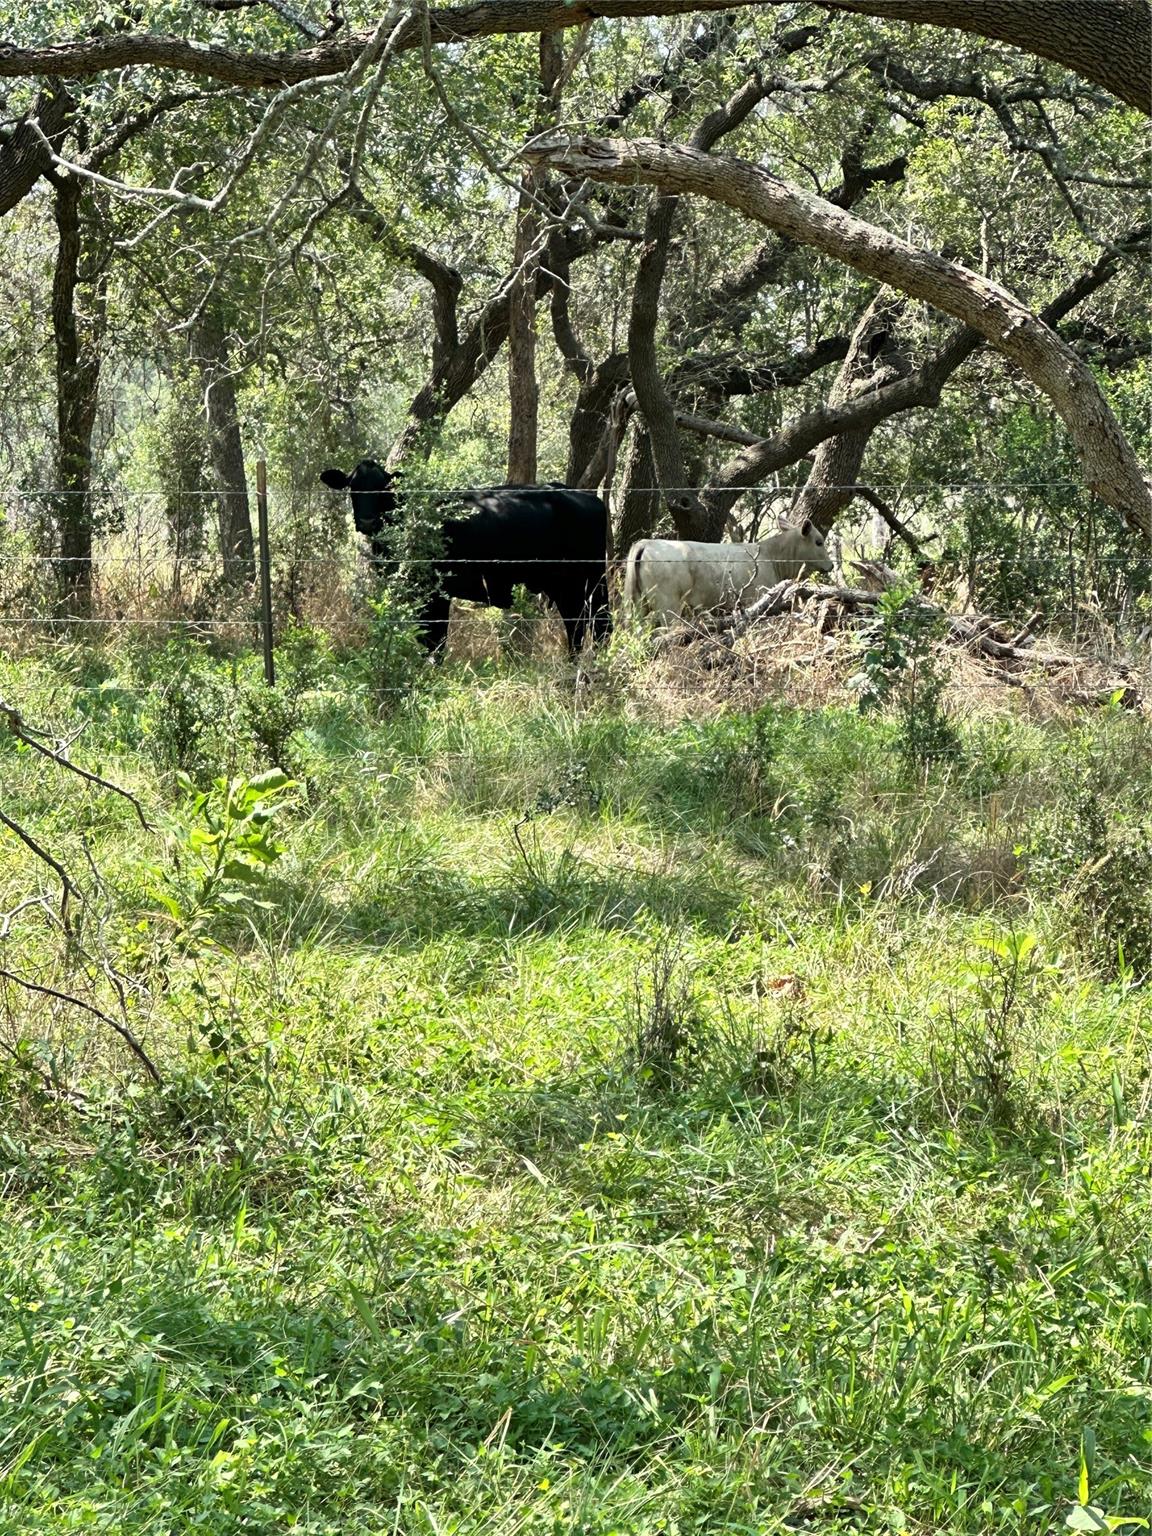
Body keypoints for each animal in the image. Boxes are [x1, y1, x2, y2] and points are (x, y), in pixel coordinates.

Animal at [321, 451, 614, 651]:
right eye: (352, 486)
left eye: (383, 488)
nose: (367, 521)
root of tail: (587, 496)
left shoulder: (437, 593)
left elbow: (435, 642)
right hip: (569, 588)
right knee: (580, 628)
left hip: (584, 583)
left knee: (597, 626)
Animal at [626, 516, 835, 623]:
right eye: (819, 542)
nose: (831, 565)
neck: (771, 556)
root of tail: (648, 542)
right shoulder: (755, 597)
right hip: (668, 605)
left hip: (636, 606)